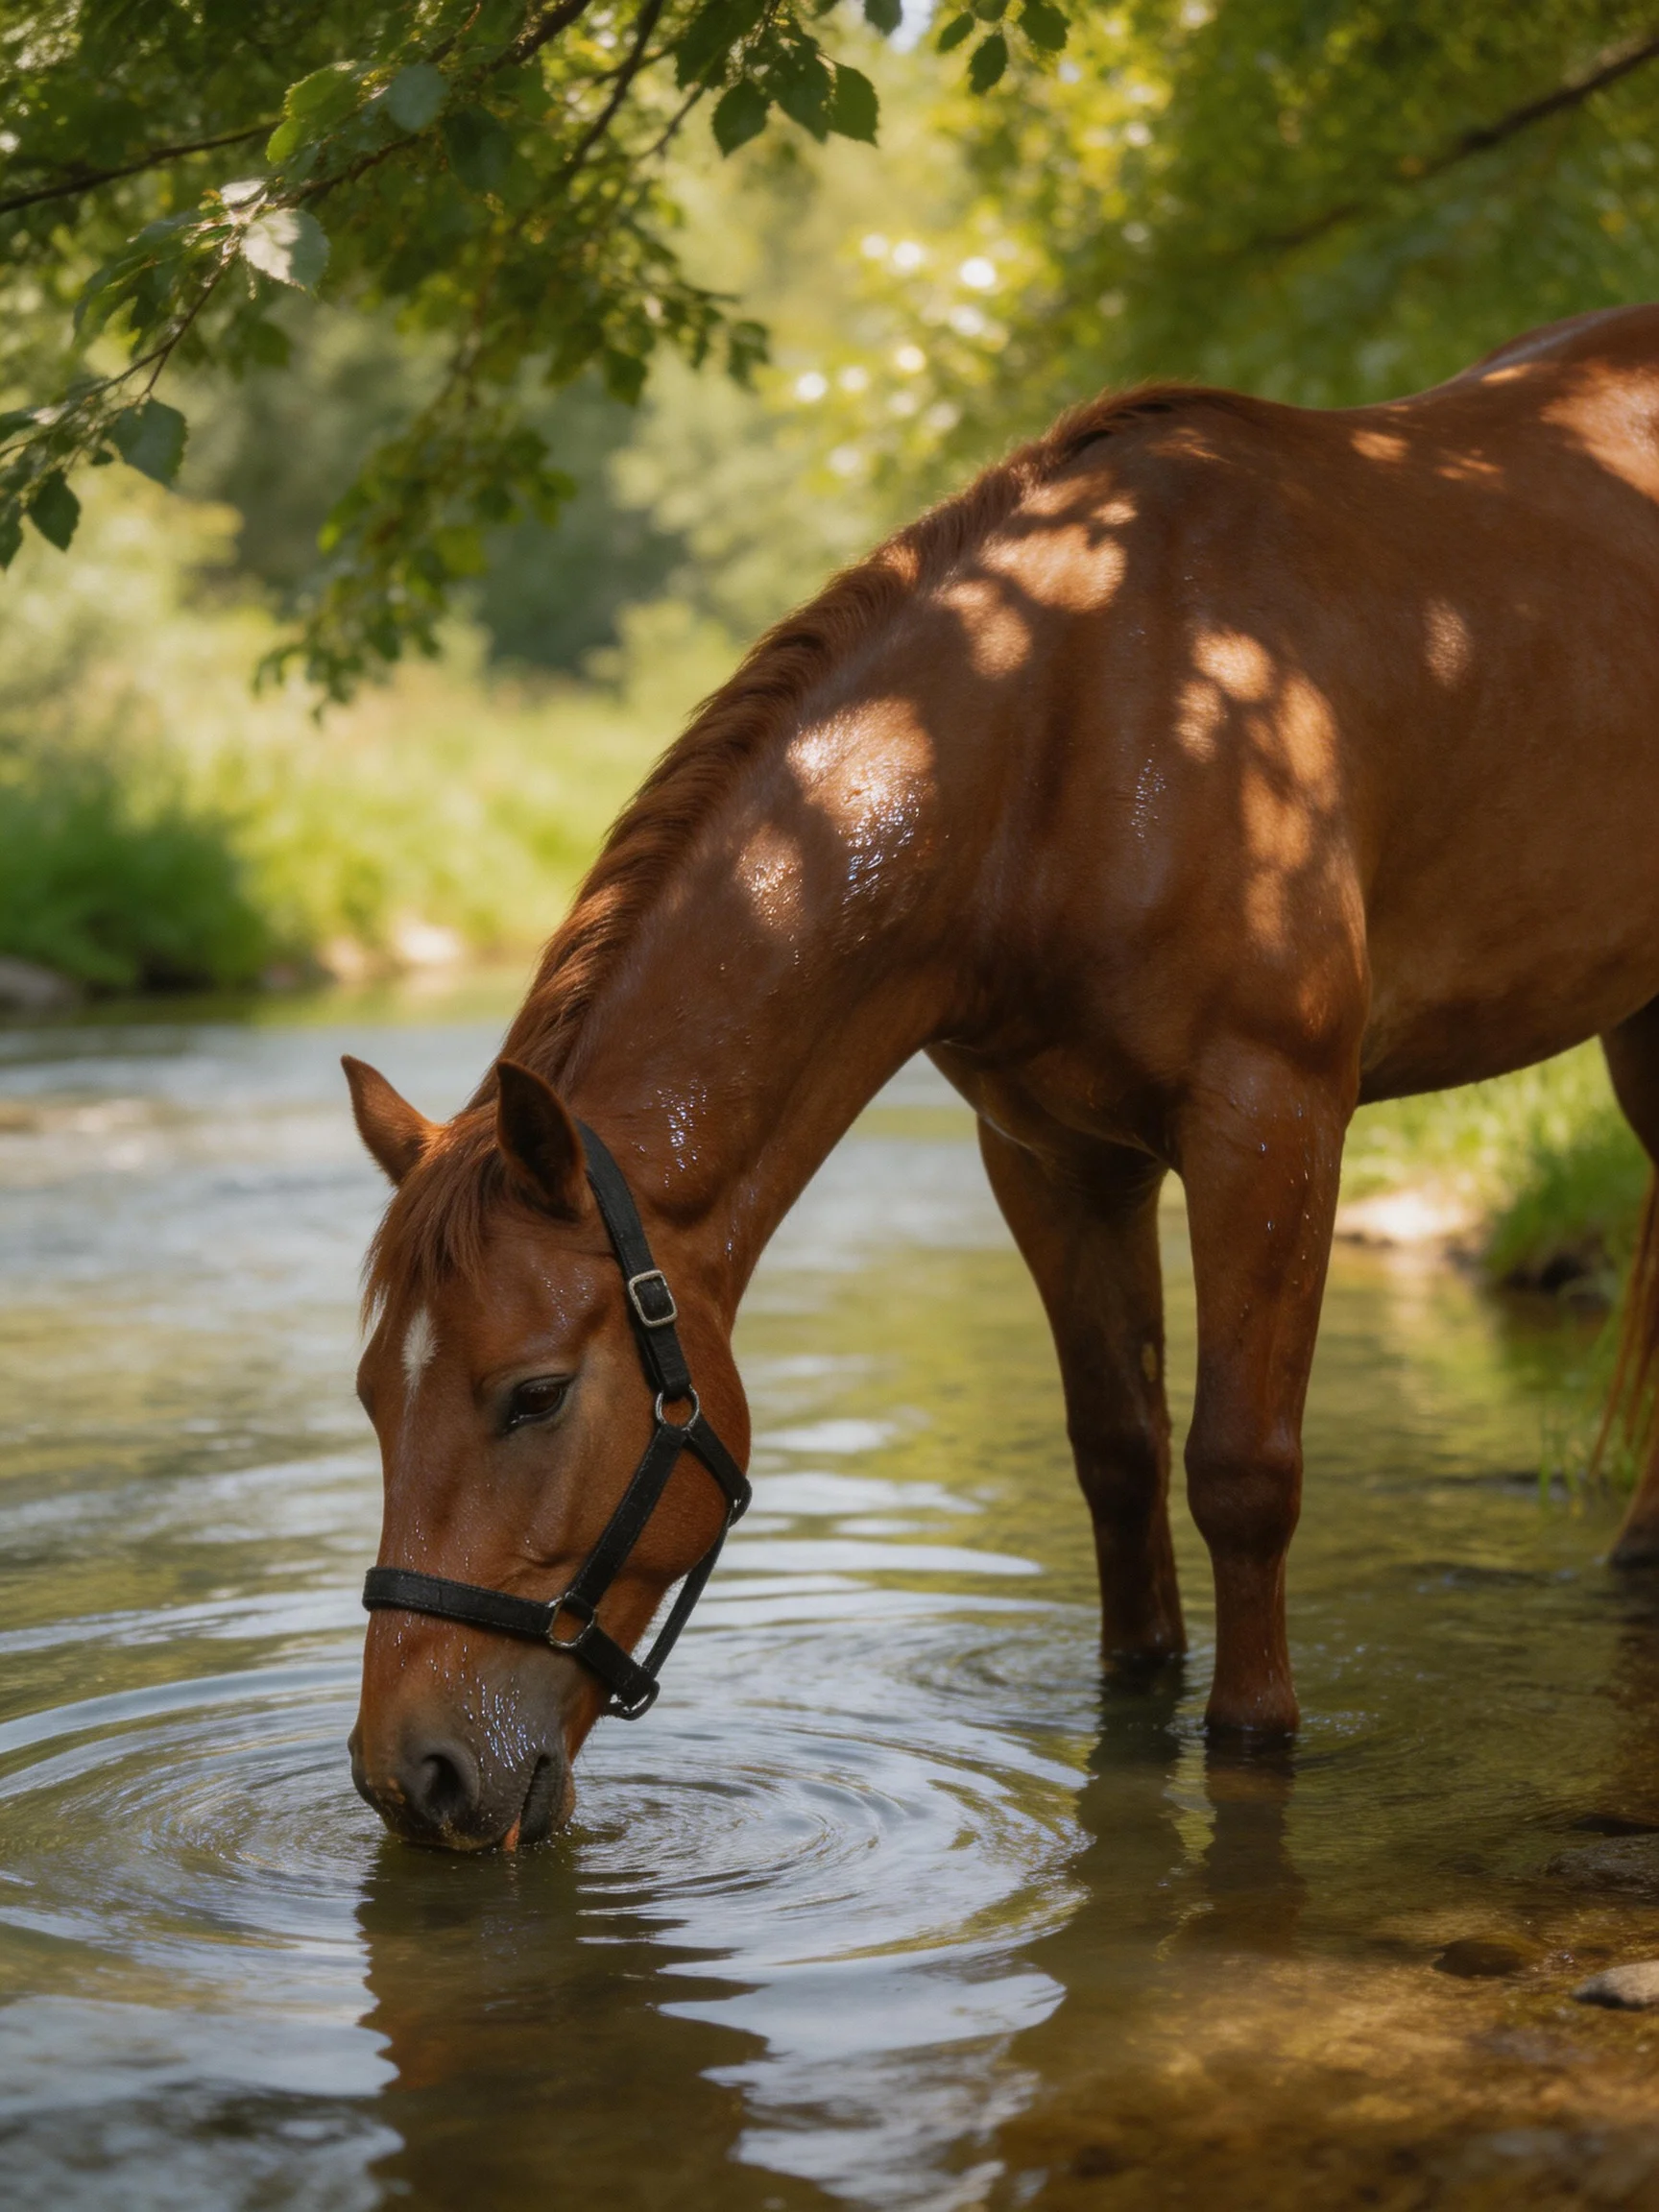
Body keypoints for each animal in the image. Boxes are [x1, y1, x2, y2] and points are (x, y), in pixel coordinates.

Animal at [346, 302, 1659, 1851]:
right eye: (373, 1397)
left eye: (536, 1395)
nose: (412, 1775)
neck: (1081, 726)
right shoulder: (1052, 1159)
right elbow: (1118, 1455)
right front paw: (1139, 1703)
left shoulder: (1270, 1125)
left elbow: (1242, 1470)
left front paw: (1251, 1740)